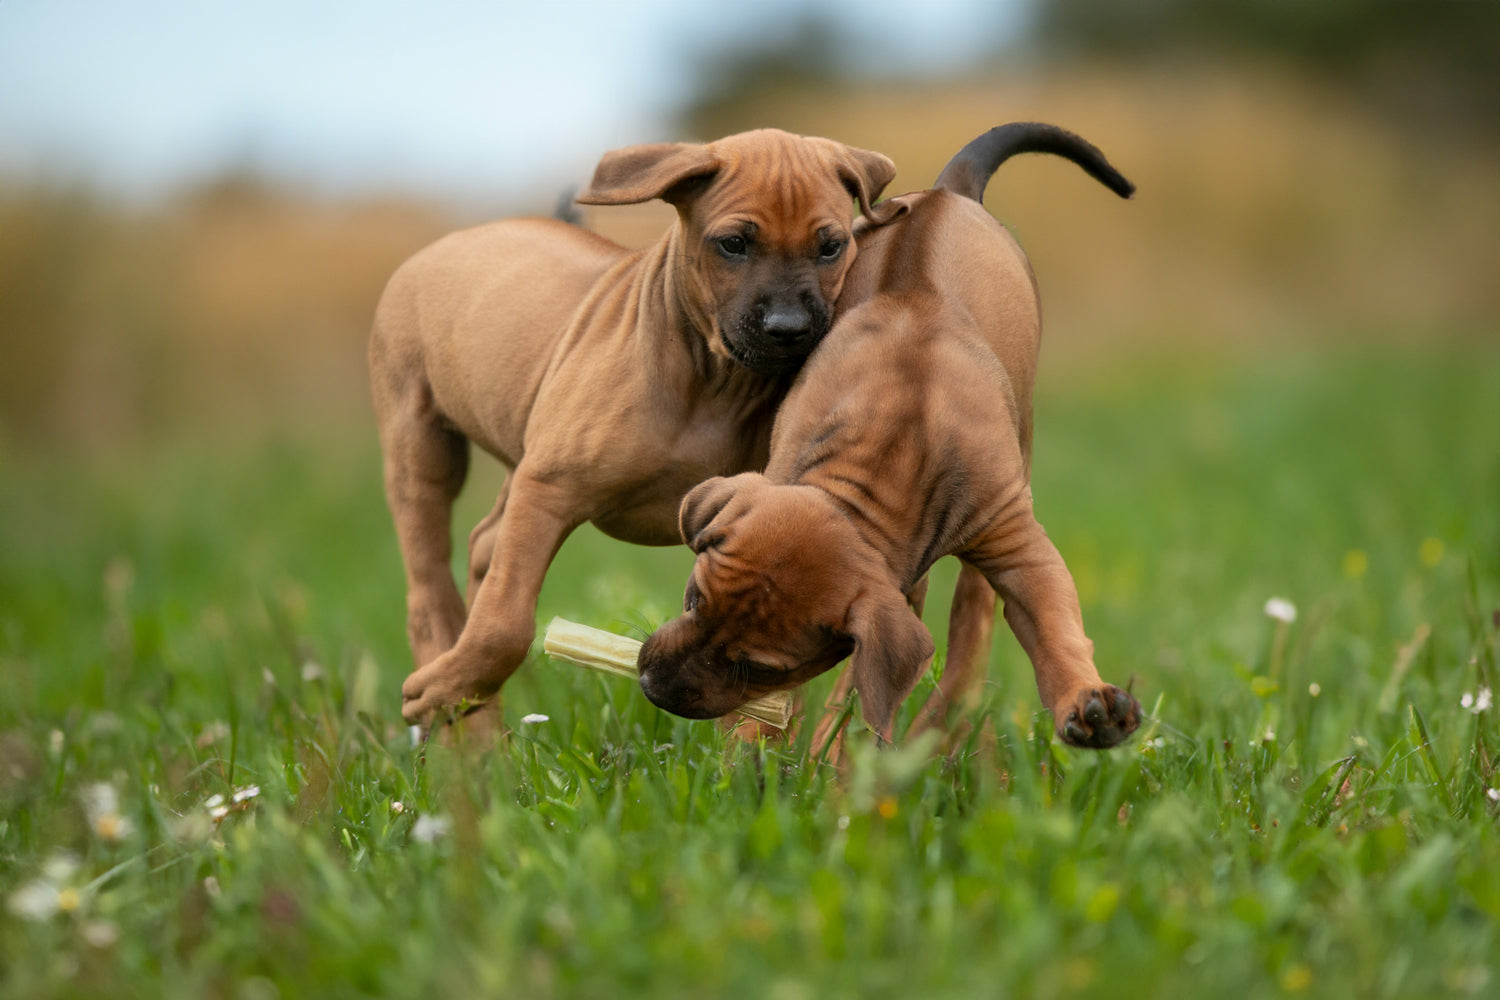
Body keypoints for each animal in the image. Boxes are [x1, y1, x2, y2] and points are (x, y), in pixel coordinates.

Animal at [369, 128, 894, 722]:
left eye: (830, 246)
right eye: (733, 244)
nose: (789, 328)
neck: (713, 383)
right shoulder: (547, 488)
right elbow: (506, 624)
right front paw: (443, 689)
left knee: (484, 546)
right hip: (420, 440)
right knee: (429, 582)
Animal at [639, 125, 1140, 746]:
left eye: (759, 667)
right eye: (693, 600)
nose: (651, 686)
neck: (884, 461)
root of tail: (950, 189)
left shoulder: (1014, 540)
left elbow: (1053, 622)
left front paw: (1086, 699)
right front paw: (756, 750)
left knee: (971, 620)